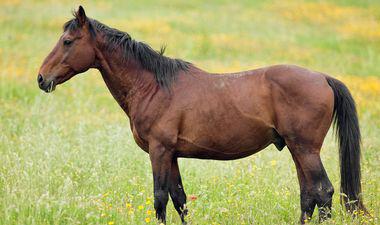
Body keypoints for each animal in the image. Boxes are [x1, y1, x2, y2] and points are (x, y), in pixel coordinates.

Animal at [37, 6, 366, 224]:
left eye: (67, 41)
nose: (41, 79)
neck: (154, 86)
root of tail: (323, 78)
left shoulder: (159, 151)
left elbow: (160, 199)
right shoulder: (171, 155)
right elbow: (179, 199)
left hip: (305, 149)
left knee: (322, 192)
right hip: (298, 150)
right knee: (309, 194)